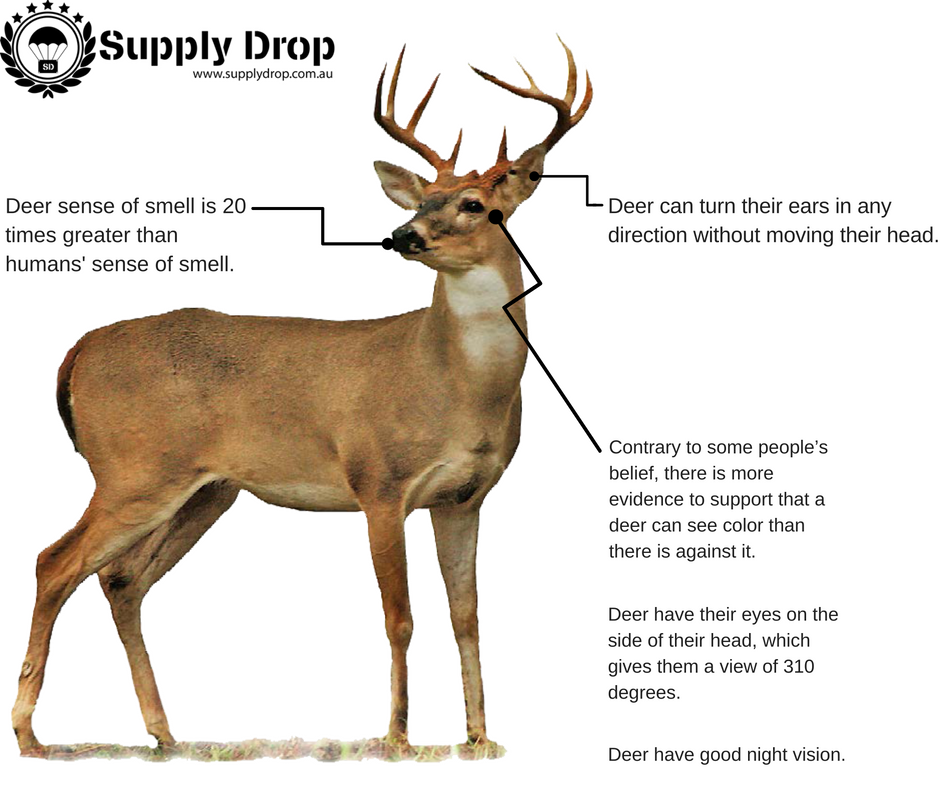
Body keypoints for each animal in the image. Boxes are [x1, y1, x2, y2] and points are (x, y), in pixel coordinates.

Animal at [12, 40, 591, 758]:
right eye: (424, 200)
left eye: (479, 207)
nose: (404, 236)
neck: (455, 387)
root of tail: (79, 350)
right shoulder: (378, 481)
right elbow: (400, 617)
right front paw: (397, 736)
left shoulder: (465, 496)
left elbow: (468, 615)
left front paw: (480, 736)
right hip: (133, 468)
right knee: (54, 561)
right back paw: (30, 733)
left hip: (206, 490)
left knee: (120, 580)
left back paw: (164, 734)